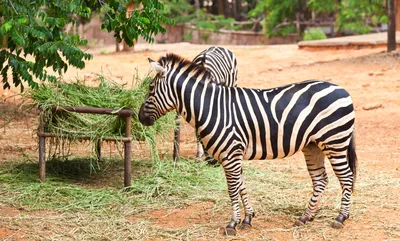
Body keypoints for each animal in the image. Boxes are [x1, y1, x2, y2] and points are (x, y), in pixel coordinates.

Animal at [139, 53, 358, 235]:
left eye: (150, 89)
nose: (140, 118)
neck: (212, 108)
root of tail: (342, 89)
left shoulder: (230, 154)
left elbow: (232, 189)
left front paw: (232, 224)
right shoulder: (233, 155)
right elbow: (241, 186)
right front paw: (247, 219)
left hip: (335, 142)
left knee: (347, 178)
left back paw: (340, 218)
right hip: (313, 145)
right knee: (320, 180)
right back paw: (306, 217)